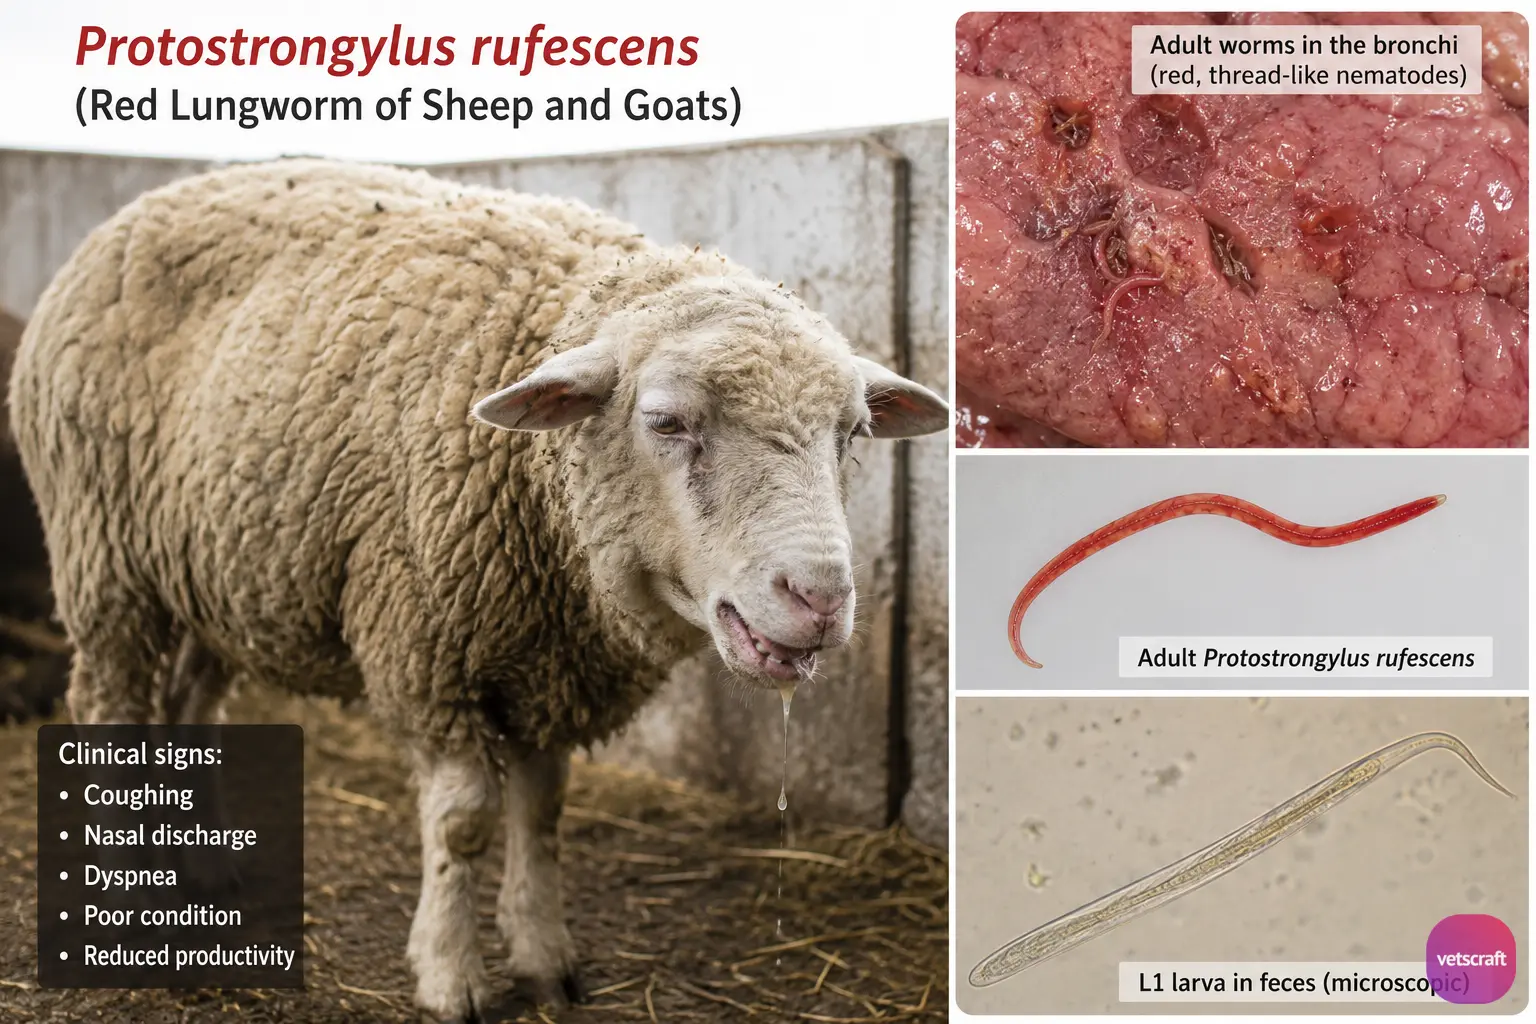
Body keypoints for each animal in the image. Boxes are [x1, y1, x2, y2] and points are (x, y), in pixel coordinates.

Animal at [9, 159, 948, 1020]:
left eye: (853, 431)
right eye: (666, 422)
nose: (820, 598)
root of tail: (148, 201)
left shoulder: (548, 659)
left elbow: (543, 811)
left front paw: (543, 958)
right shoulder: (426, 646)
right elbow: (462, 821)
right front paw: (450, 975)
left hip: (213, 570)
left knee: (189, 706)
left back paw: (198, 867)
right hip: (103, 558)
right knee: (109, 701)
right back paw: (127, 889)